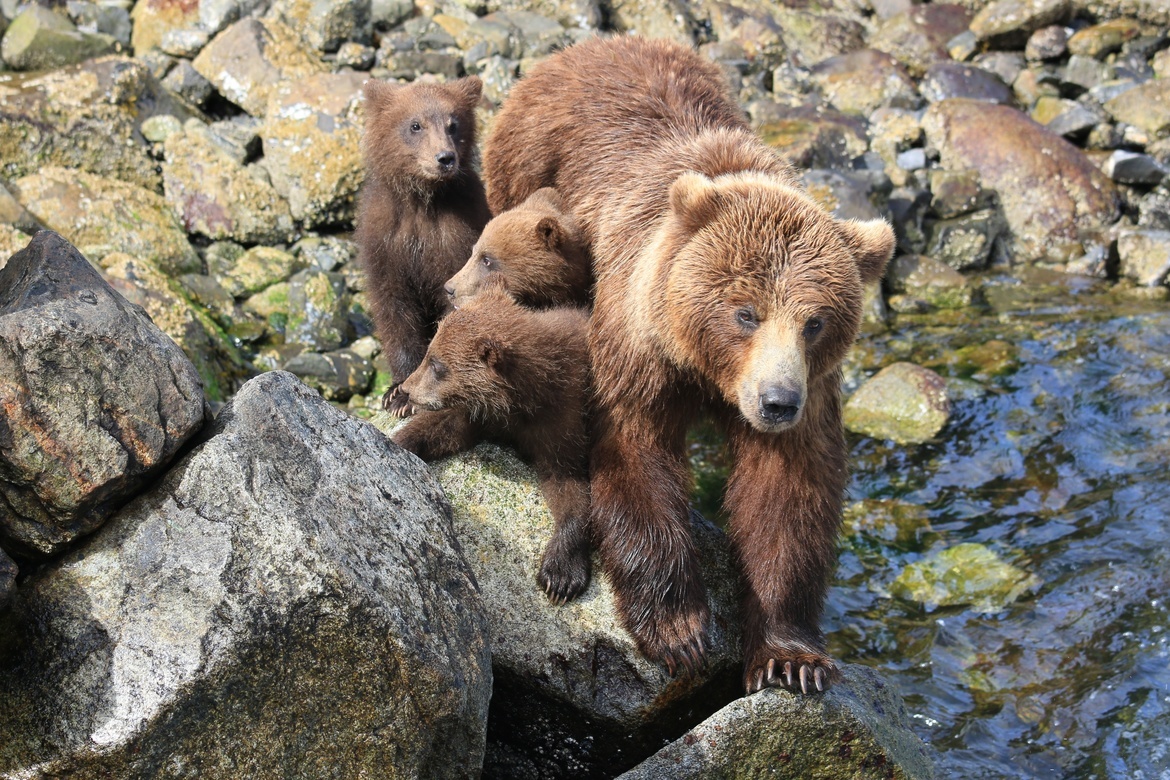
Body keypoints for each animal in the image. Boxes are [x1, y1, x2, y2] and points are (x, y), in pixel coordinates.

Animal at [355, 75, 491, 417]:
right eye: (415, 125)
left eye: (453, 124)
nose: (445, 158)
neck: (422, 201)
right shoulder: (386, 243)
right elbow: (394, 311)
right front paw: (396, 392)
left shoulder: (456, 237)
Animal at [391, 286, 593, 604]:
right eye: (429, 352)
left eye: (437, 365)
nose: (407, 389)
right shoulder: (481, 413)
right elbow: (441, 428)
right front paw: (396, 442)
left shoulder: (561, 417)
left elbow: (568, 482)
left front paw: (561, 576)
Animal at [483, 36, 894, 694]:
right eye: (746, 312)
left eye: (815, 321)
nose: (777, 402)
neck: (707, 371)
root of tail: (587, 46)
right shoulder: (637, 348)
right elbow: (636, 455)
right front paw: (679, 631)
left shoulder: (811, 392)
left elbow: (786, 493)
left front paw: (790, 657)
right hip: (523, 172)